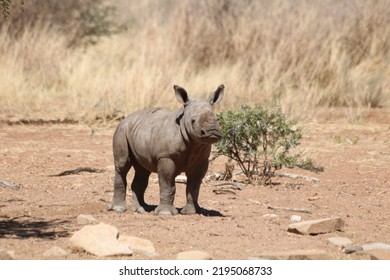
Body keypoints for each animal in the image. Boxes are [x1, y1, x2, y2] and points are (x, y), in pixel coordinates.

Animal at [109, 84, 225, 215]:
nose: (212, 131)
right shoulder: (166, 156)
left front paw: (191, 212)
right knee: (122, 165)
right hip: (121, 130)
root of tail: (126, 118)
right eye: (193, 121)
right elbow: (168, 184)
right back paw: (118, 209)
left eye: (218, 119)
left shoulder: (201, 160)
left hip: (139, 130)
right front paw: (166, 213)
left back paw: (142, 209)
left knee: (143, 170)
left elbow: (194, 186)